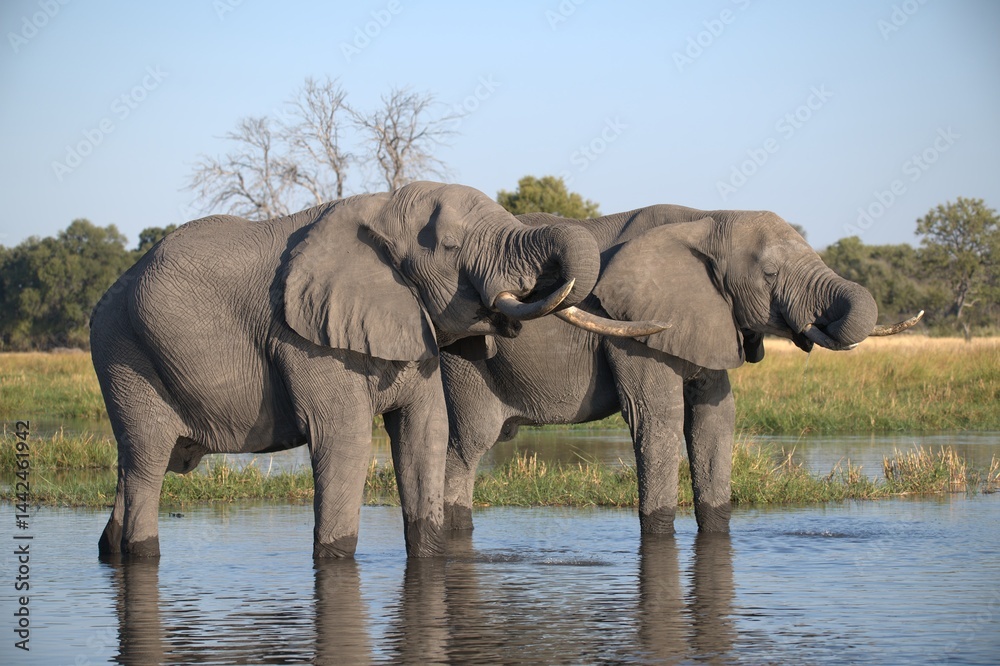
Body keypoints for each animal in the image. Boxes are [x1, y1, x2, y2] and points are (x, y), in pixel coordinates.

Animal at [91, 181, 648, 560]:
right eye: (450, 247)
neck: (383, 207)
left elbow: (424, 434)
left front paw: (431, 557)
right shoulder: (304, 337)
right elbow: (345, 441)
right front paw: (336, 561)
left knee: (135, 468)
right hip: (125, 357)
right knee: (146, 461)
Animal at [441, 205, 921, 534]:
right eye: (769, 273)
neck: (708, 219)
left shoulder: (711, 317)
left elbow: (715, 419)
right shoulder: (631, 328)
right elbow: (658, 419)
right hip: (462, 359)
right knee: (468, 444)